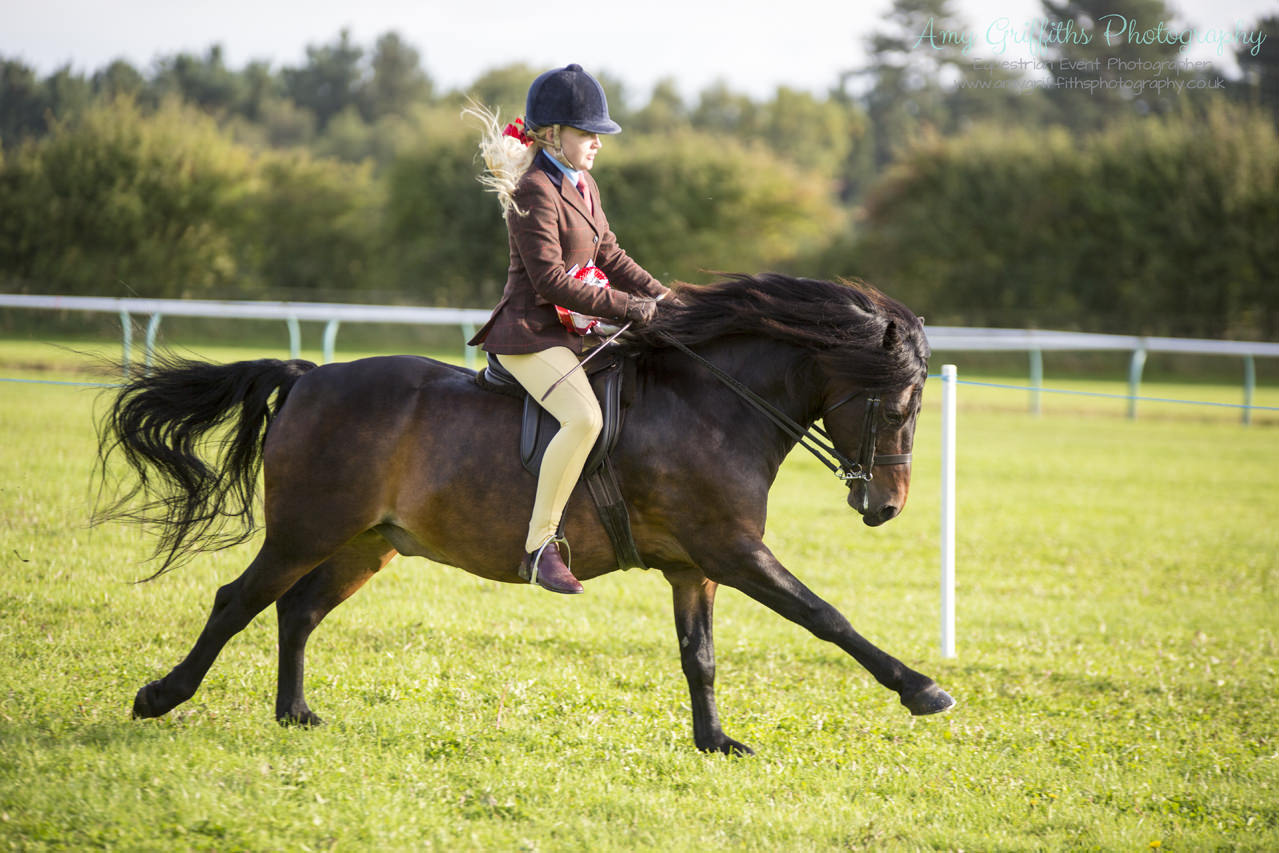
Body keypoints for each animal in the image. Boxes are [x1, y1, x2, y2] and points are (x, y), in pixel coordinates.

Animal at [97, 272, 951, 751]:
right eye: (898, 405)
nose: (884, 507)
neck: (710, 402)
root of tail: (310, 376)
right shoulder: (731, 550)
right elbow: (827, 616)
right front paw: (921, 689)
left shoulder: (694, 567)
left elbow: (699, 655)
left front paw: (714, 740)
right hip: (305, 530)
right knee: (237, 600)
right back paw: (160, 696)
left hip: (365, 543)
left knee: (297, 610)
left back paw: (295, 713)